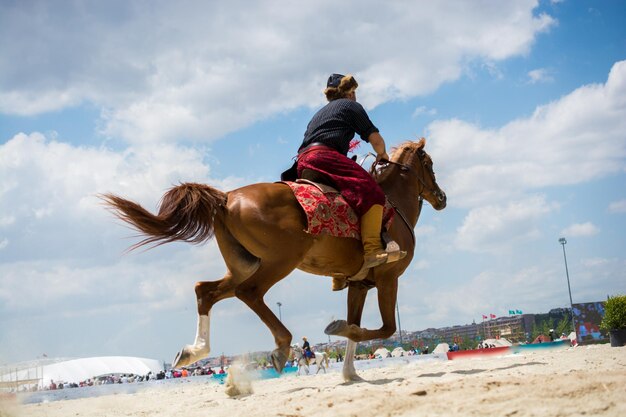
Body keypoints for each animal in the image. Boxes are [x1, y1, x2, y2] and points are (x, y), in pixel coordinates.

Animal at [101, 136, 444, 380]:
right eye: (429, 164)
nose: (441, 197)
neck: (394, 206)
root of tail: (226, 198)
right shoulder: (388, 278)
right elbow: (384, 328)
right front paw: (336, 329)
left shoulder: (359, 284)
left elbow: (356, 327)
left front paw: (349, 372)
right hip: (281, 261)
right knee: (249, 293)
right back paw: (280, 347)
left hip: (245, 265)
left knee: (206, 291)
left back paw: (194, 350)